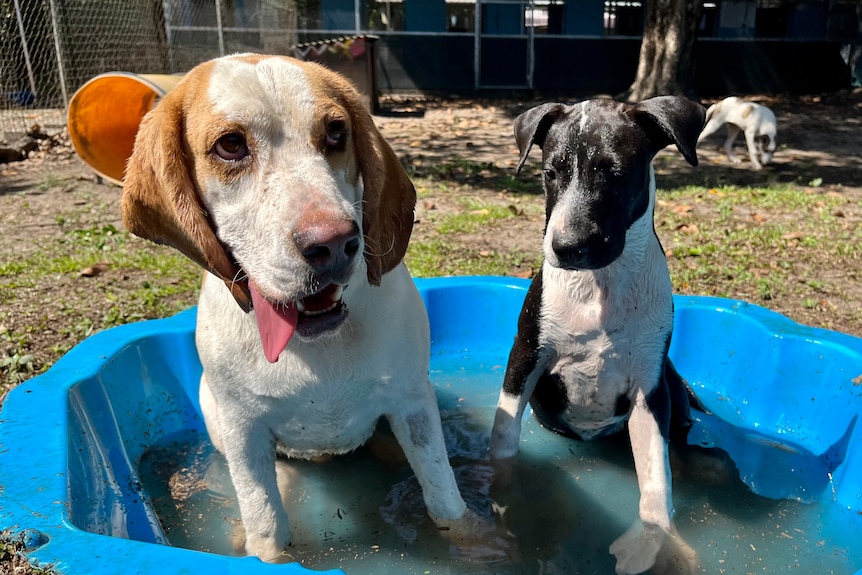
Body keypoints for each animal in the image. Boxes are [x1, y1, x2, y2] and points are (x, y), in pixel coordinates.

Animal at [123, 54, 480, 564]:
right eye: (230, 145)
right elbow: (265, 521)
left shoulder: (413, 403)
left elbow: (444, 497)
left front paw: (479, 544)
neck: (318, 345)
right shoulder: (242, 426)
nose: (333, 244)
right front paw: (271, 557)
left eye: (335, 132)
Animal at [492, 95, 708, 575]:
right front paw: (504, 499)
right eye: (550, 173)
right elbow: (504, 437)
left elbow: (655, 478)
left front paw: (656, 543)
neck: (600, 286)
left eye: (616, 173)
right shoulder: (525, 356)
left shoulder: (650, 387)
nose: (567, 248)